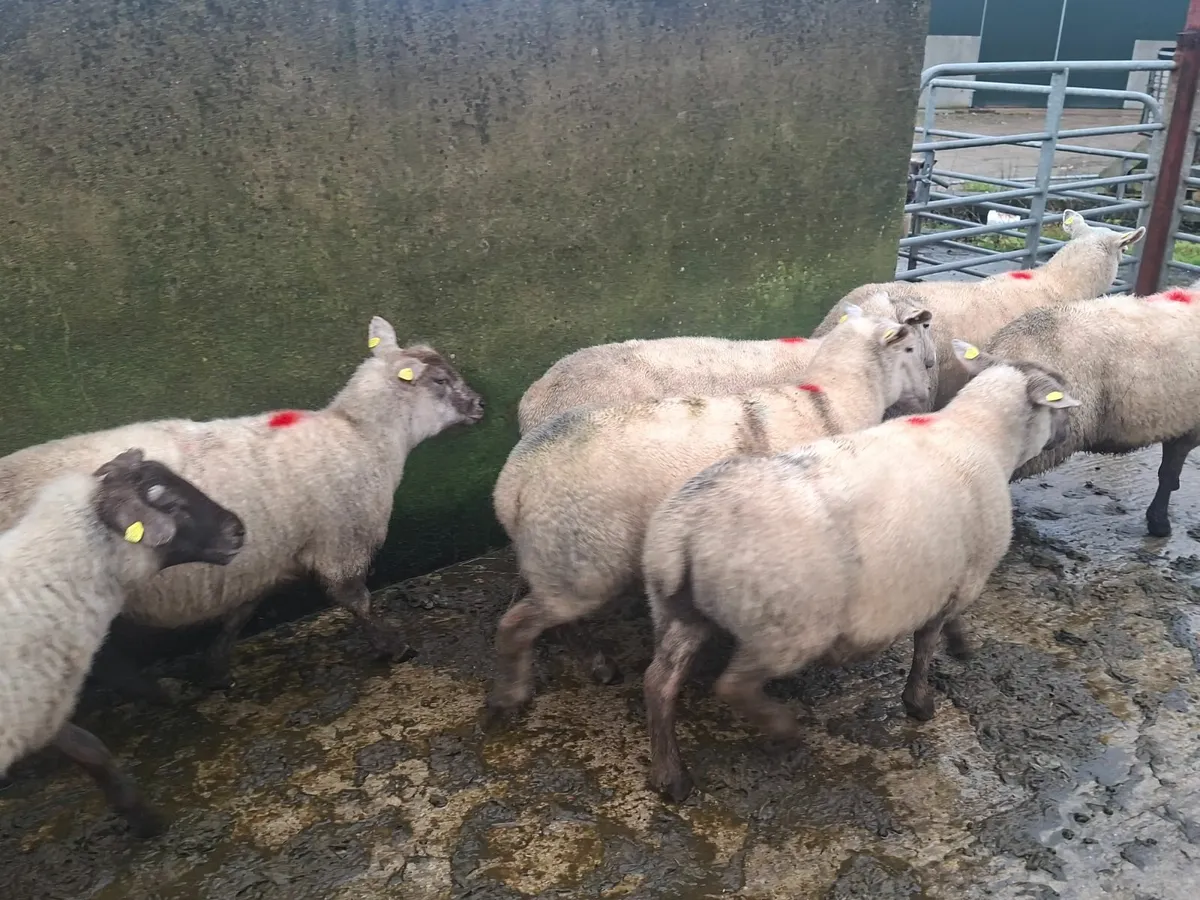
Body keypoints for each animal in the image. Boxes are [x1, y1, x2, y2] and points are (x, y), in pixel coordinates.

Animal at [0, 316, 484, 696]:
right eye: (441, 381)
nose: (481, 405)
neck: (361, 435)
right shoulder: (341, 545)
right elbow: (357, 601)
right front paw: (394, 647)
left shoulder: (267, 556)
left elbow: (242, 612)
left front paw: (214, 667)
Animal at [1, 448, 245, 836]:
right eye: (171, 505)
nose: (238, 530)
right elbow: (91, 747)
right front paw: (143, 817)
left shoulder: (31, 704)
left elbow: (90, 744)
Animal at [485, 305, 930, 720]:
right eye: (910, 347)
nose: (928, 394)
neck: (827, 400)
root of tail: (512, 483)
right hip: (582, 557)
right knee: (527, 620)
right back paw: (538, 685)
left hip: (557, 551)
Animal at [639, 340, 1082, 801]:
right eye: (1059, 401)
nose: (1070, 432)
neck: (982, 435)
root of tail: (688, 527)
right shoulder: (959, 576)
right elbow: (927, 643)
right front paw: (923, 698)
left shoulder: (949, 577)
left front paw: (958, 647)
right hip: (785, 626)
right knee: (733, 686)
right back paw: (783, 730)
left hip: (677, 611)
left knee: (658, 683)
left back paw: (670, 776)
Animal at [985, 279, 1200, 538]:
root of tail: (1008, 348)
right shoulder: (1190, 427)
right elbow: (1168, 475)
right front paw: (1160, 524)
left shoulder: (1180, 423)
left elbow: (1168, 473)